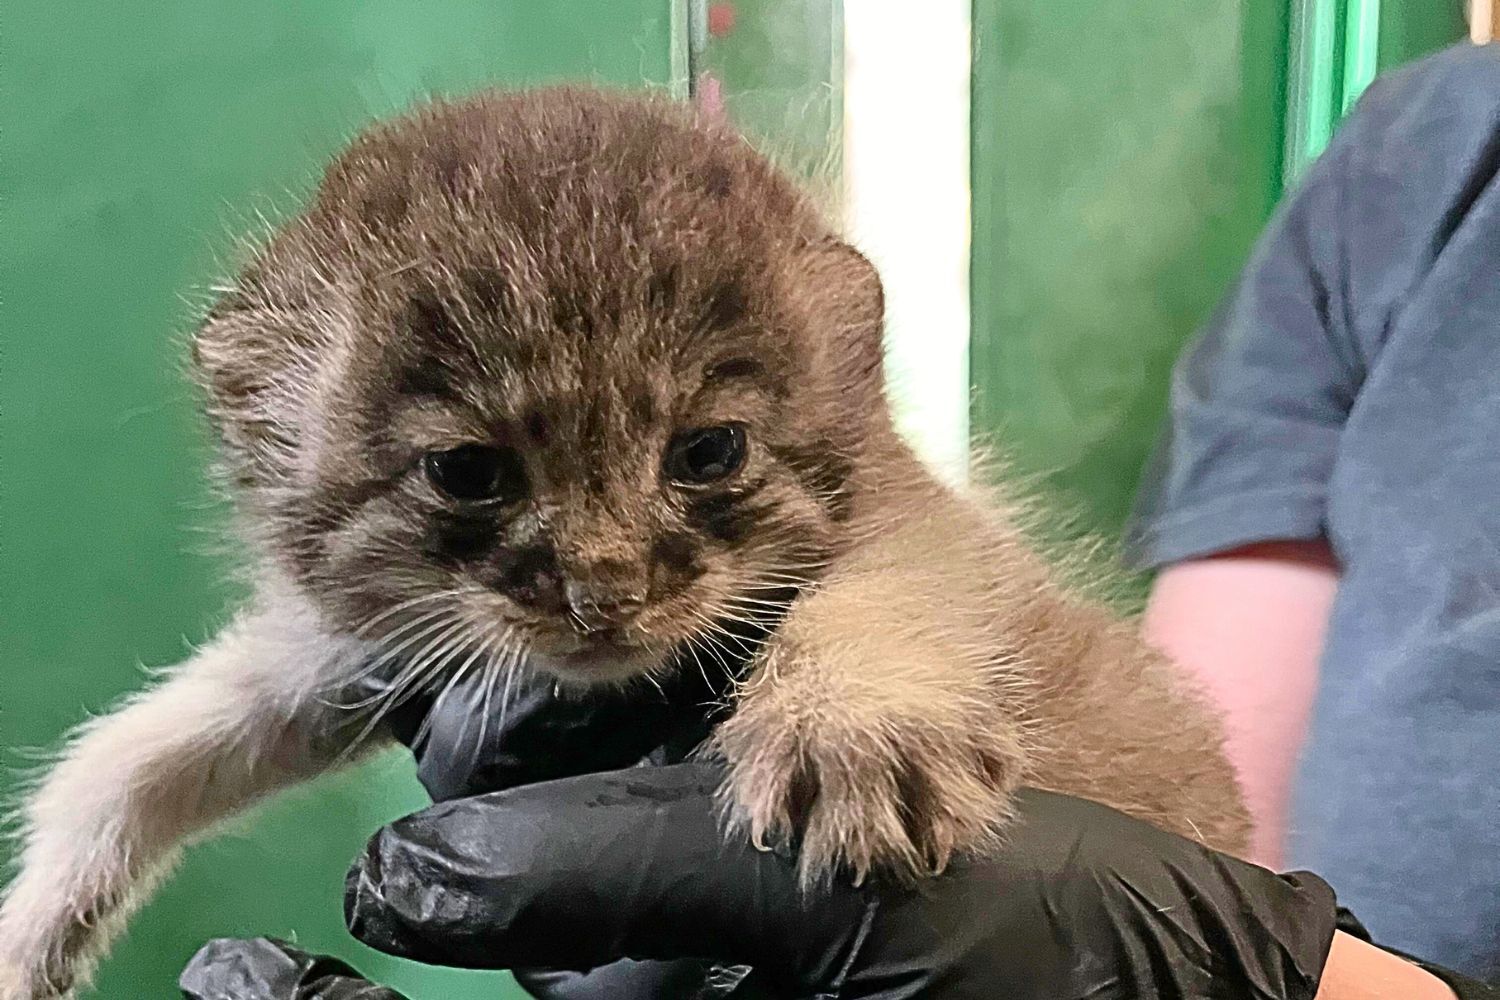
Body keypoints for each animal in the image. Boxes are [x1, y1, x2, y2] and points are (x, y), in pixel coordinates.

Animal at [0, 89, 1242, 995]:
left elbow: (893, 584)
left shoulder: (919, 521)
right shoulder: (358, 647)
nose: (606, 587)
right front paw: (35, 920)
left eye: (708, 452)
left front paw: (853, 729)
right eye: (469, 471)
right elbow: (149, 745)